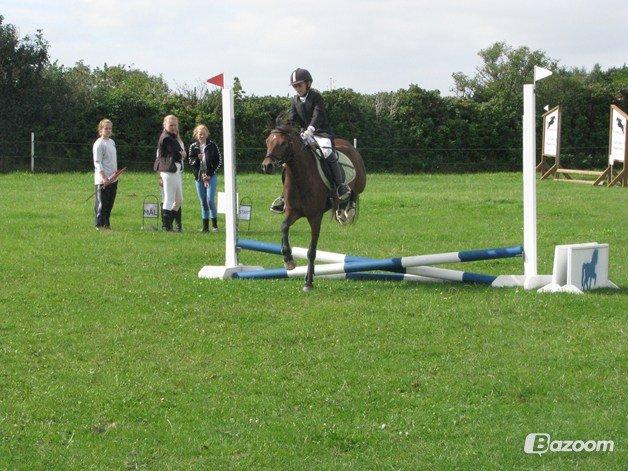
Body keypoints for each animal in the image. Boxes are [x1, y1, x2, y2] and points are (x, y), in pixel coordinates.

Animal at [262, 127, 368, 292]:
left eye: (283, 143)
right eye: (267, 141)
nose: (267, 166)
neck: (300, 177)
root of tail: (348, 145)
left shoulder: (315, 217)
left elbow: (311, 251)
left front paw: (308, 282)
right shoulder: (293, 212)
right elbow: (284, 227)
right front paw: (288, 259)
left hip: (360, 183)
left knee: (353, 194)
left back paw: (346, 209)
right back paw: (341, 212)